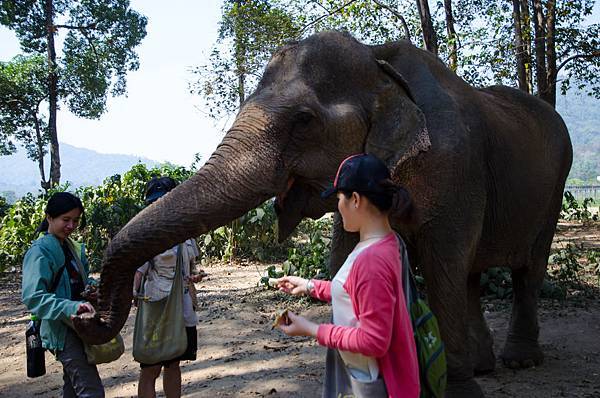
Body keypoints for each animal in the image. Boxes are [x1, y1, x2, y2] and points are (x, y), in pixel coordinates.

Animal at [75, 30, 572, 394]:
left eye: (304, 121)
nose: (86, 310)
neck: (379, 62)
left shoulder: (453, 165)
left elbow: (442, 264)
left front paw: (458, 390)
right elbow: (345, 259)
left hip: (555, 188)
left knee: (523, 270)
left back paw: (519, 361)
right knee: (472, 275)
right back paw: (488, 366)